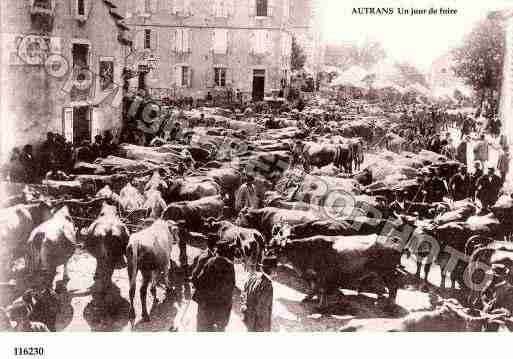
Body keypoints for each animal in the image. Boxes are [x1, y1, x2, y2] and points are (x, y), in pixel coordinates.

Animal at [268, 235, 400, 308]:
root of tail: (394, 241)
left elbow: (321, 289)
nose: (266, 262)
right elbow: (314, 288)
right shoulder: (314, 276)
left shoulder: (322, 275)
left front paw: (321, 305)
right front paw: (309, 298)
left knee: (393, 287)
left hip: (387, 272)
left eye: (274, 249)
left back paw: (390, 305)